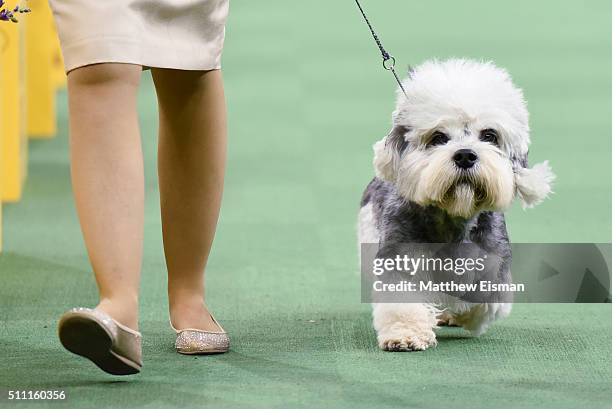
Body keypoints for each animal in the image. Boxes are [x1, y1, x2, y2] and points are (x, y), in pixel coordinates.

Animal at [358, 58, 556, 350]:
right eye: (438, 137)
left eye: (489, 135)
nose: (465, 155)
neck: (454, 214)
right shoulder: (400, 255)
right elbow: (402, 299)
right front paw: (405, 334)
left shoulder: (492, 263)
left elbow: (484, 299)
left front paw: (460, 312)